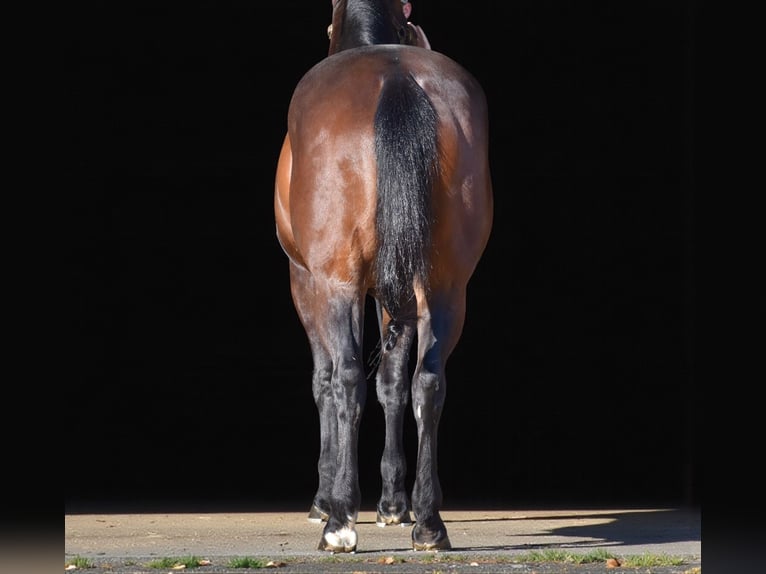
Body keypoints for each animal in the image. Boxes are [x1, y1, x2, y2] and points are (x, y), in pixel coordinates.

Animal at [274, 0, 493, 553]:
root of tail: (395, 77)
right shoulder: (399, 294)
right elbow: (393, 383)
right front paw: (394, 503)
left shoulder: (306, 281)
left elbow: (325, 381)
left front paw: (325, 498)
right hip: (444, 287)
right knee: (427, 382)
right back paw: (428, 523)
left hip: (337, 284)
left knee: (347, 378)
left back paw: (339, 523)